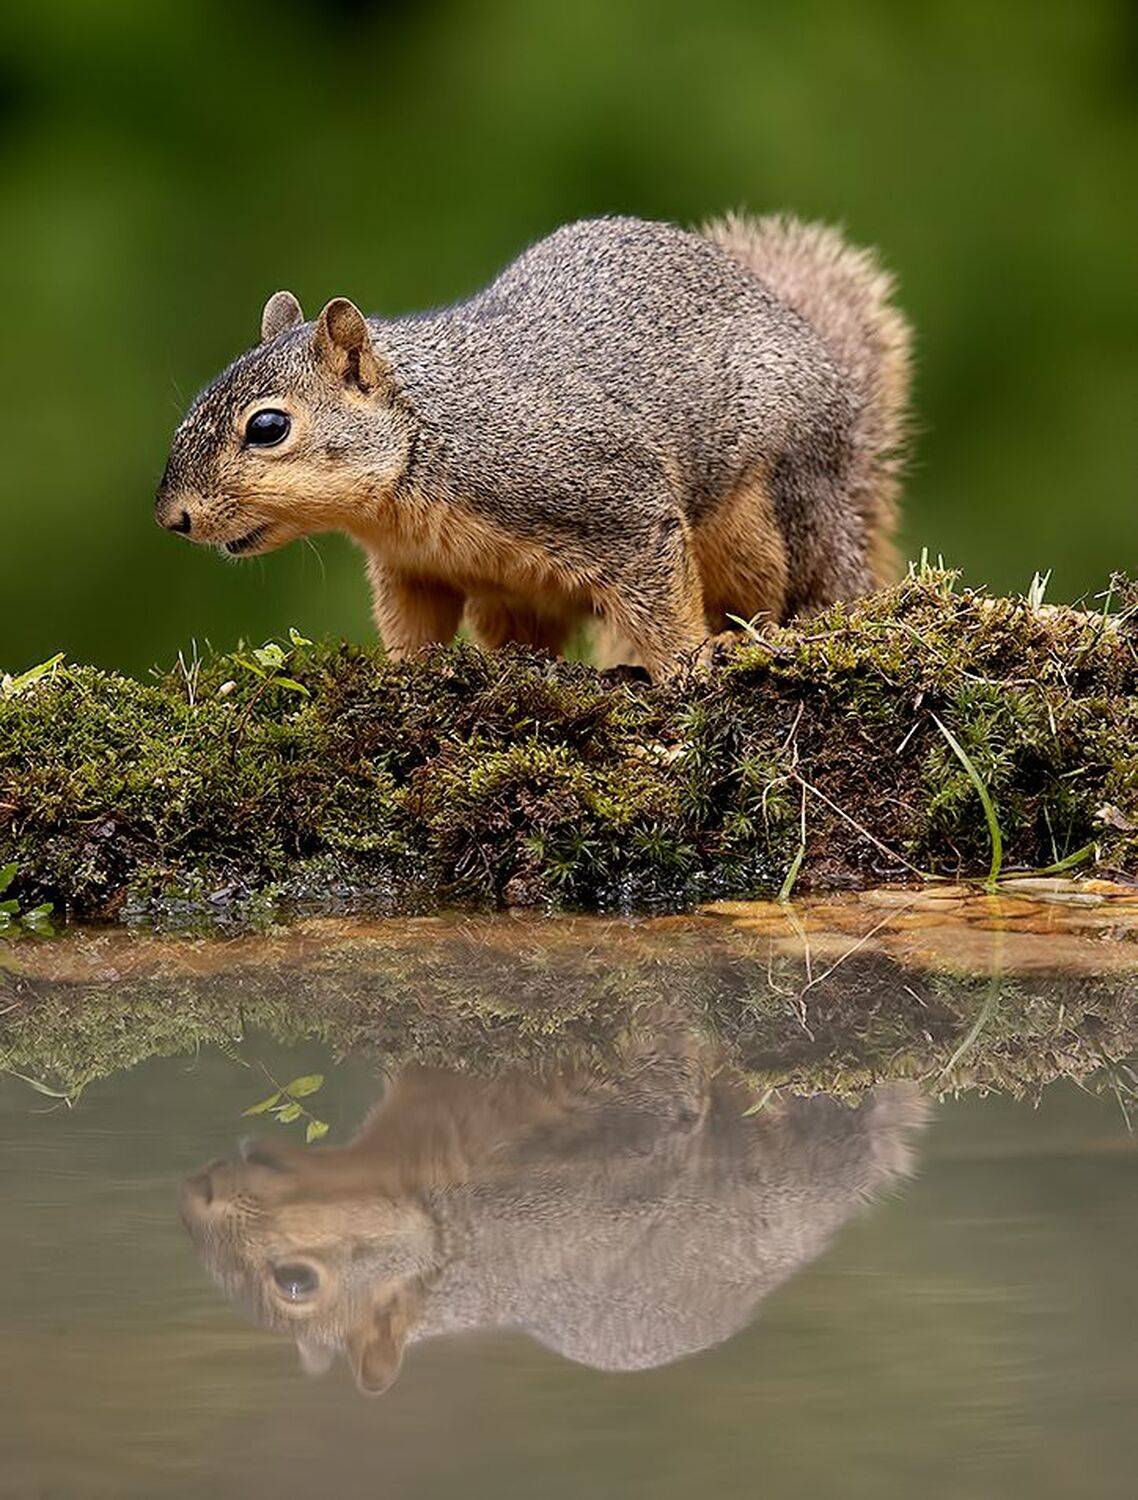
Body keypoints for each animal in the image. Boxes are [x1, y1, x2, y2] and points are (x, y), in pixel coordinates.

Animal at [156, 214, 911, 678]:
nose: (172, 518)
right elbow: (414, 627)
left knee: (789, 588)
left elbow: (662, 601)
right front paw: (401, 672)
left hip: (763, 516)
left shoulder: (614, 500)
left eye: (267, 428)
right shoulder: (412, 569)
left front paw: (687, 664)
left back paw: (752, 631)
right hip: (512, 601)